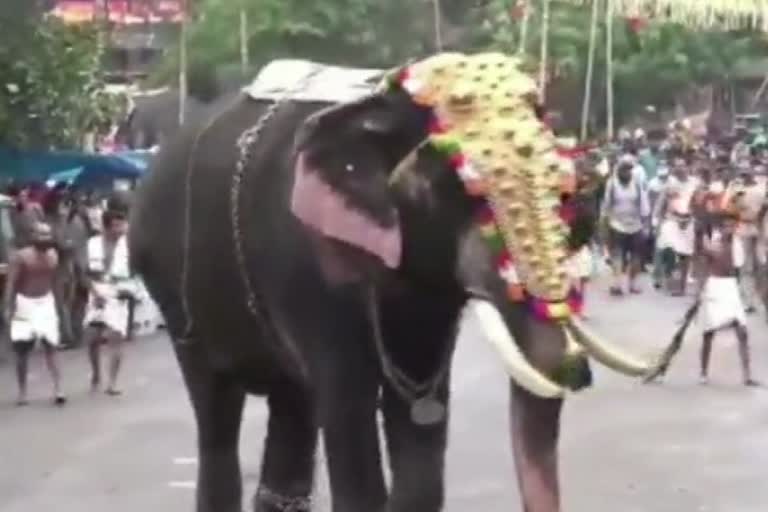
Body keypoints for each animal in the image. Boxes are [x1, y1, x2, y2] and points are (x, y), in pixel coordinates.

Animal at [129, 53, 656, 512]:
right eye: (460, 188)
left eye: (568, 191)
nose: (578, 370)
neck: (381, 99)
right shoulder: (308, 268)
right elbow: (349, 410)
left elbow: (421, 424)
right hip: (172, 291)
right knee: (215, 411)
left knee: (291, 404)